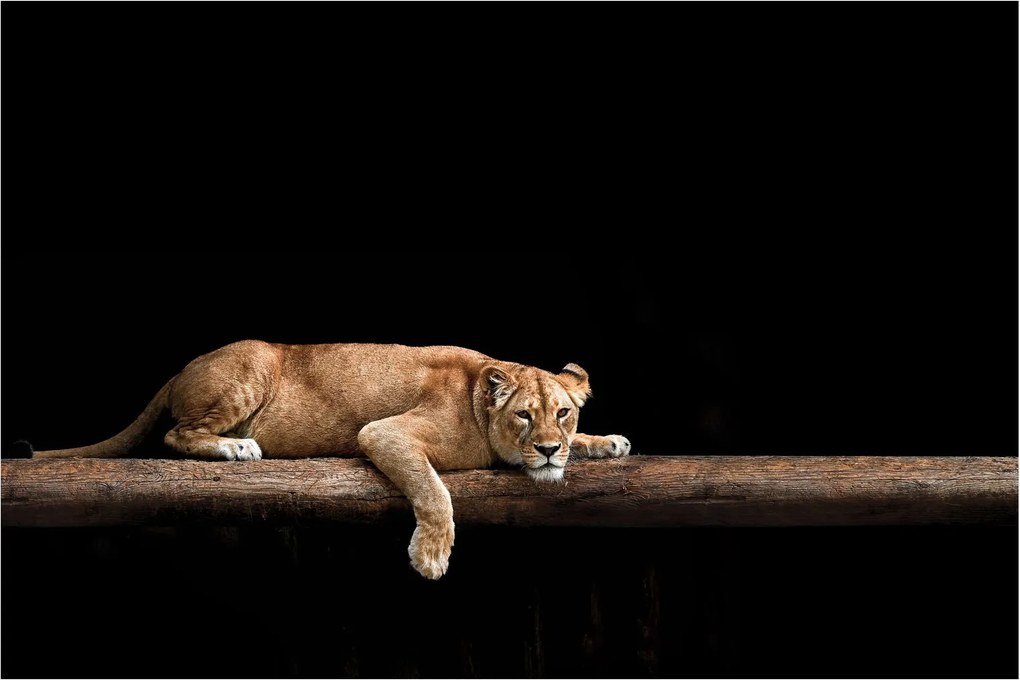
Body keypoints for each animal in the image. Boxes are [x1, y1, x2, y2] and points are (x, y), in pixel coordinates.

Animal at [30, 341, 631, 579]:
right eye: (525, 416)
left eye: (563, 414)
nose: (549, 449)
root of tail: (181, 369)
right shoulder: (385, 433)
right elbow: (434, 491)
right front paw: (431, 556)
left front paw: (606, 442)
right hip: (252, 367)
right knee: (176, 435)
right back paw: (236, 446)